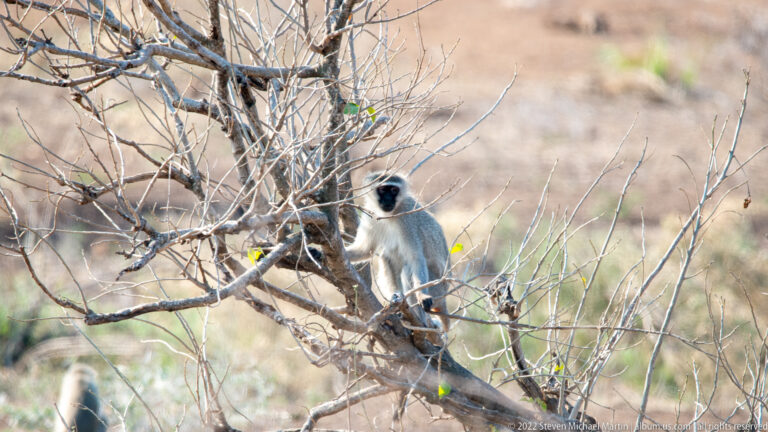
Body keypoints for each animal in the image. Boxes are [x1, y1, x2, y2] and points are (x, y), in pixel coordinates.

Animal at [345, 171, 451, 333]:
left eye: (394, 190)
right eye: (383, 190)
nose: (388, 200)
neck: (389, 214)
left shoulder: (406, 217)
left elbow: (415, 258)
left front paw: (422, 295)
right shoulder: (371, 216)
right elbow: (364, 250)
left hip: (437, 288)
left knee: (407, 269)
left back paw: (420, 322)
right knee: (386, 255)